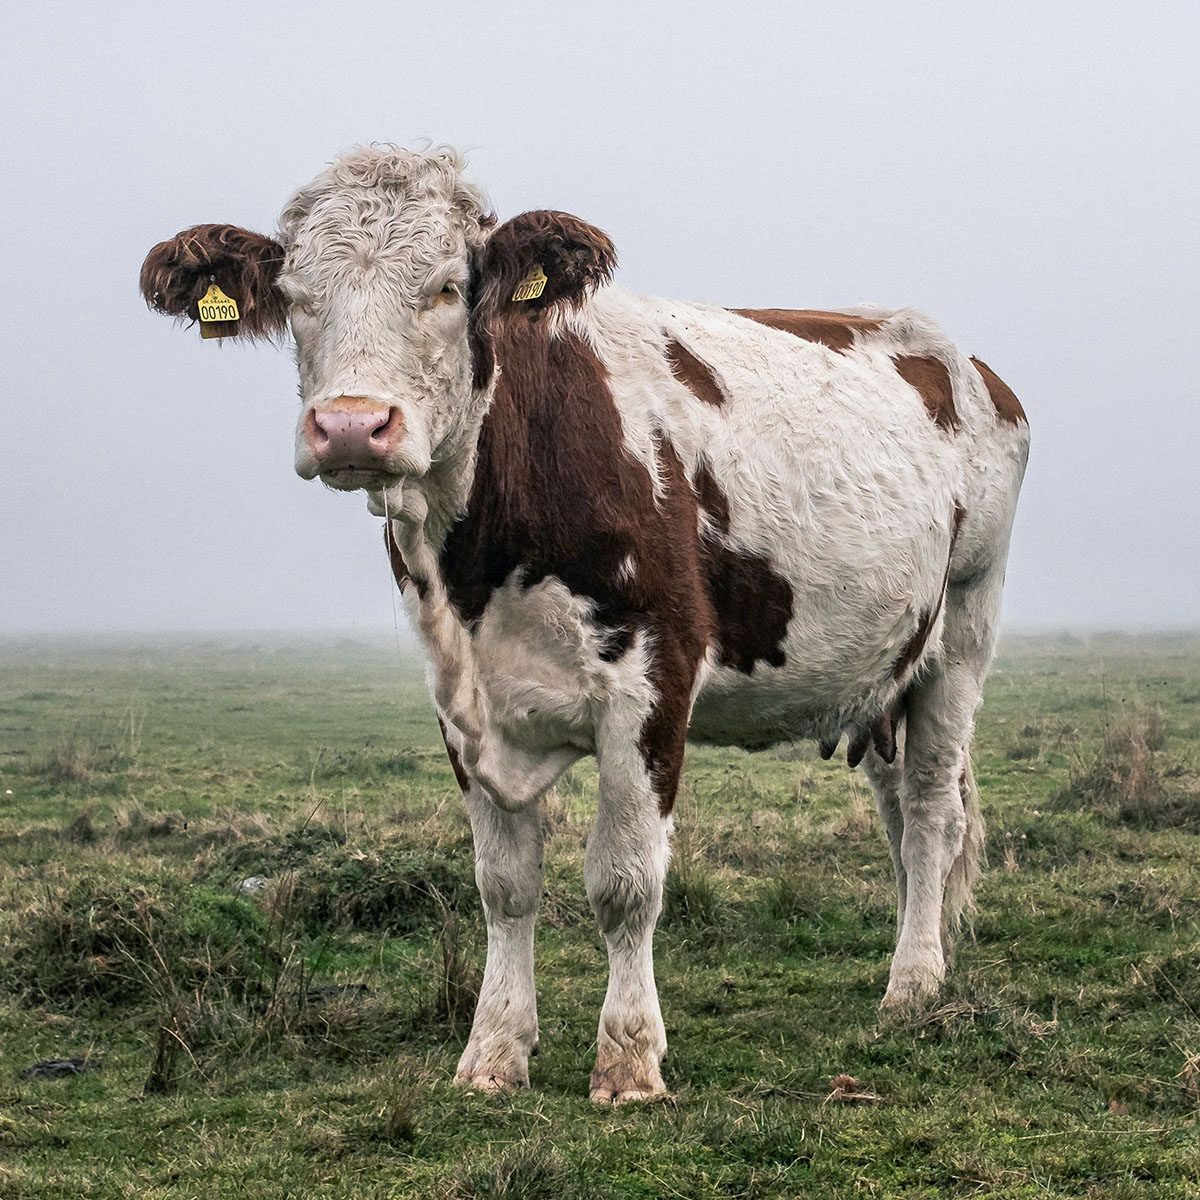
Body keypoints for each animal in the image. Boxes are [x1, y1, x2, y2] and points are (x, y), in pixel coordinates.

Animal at [140, 145, 1029, 1102]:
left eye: (448, 286)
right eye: (299, 294)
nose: (350, 426)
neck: (485, 559)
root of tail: (965, 361)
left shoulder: (653, 678)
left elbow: (625, 881)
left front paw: (629, 1060)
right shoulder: (461, 700)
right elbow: (504, 884)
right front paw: (493, 1052)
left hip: (965, 623)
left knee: (934, 807)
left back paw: (915, 983)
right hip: (883, 667)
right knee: (897, 810)